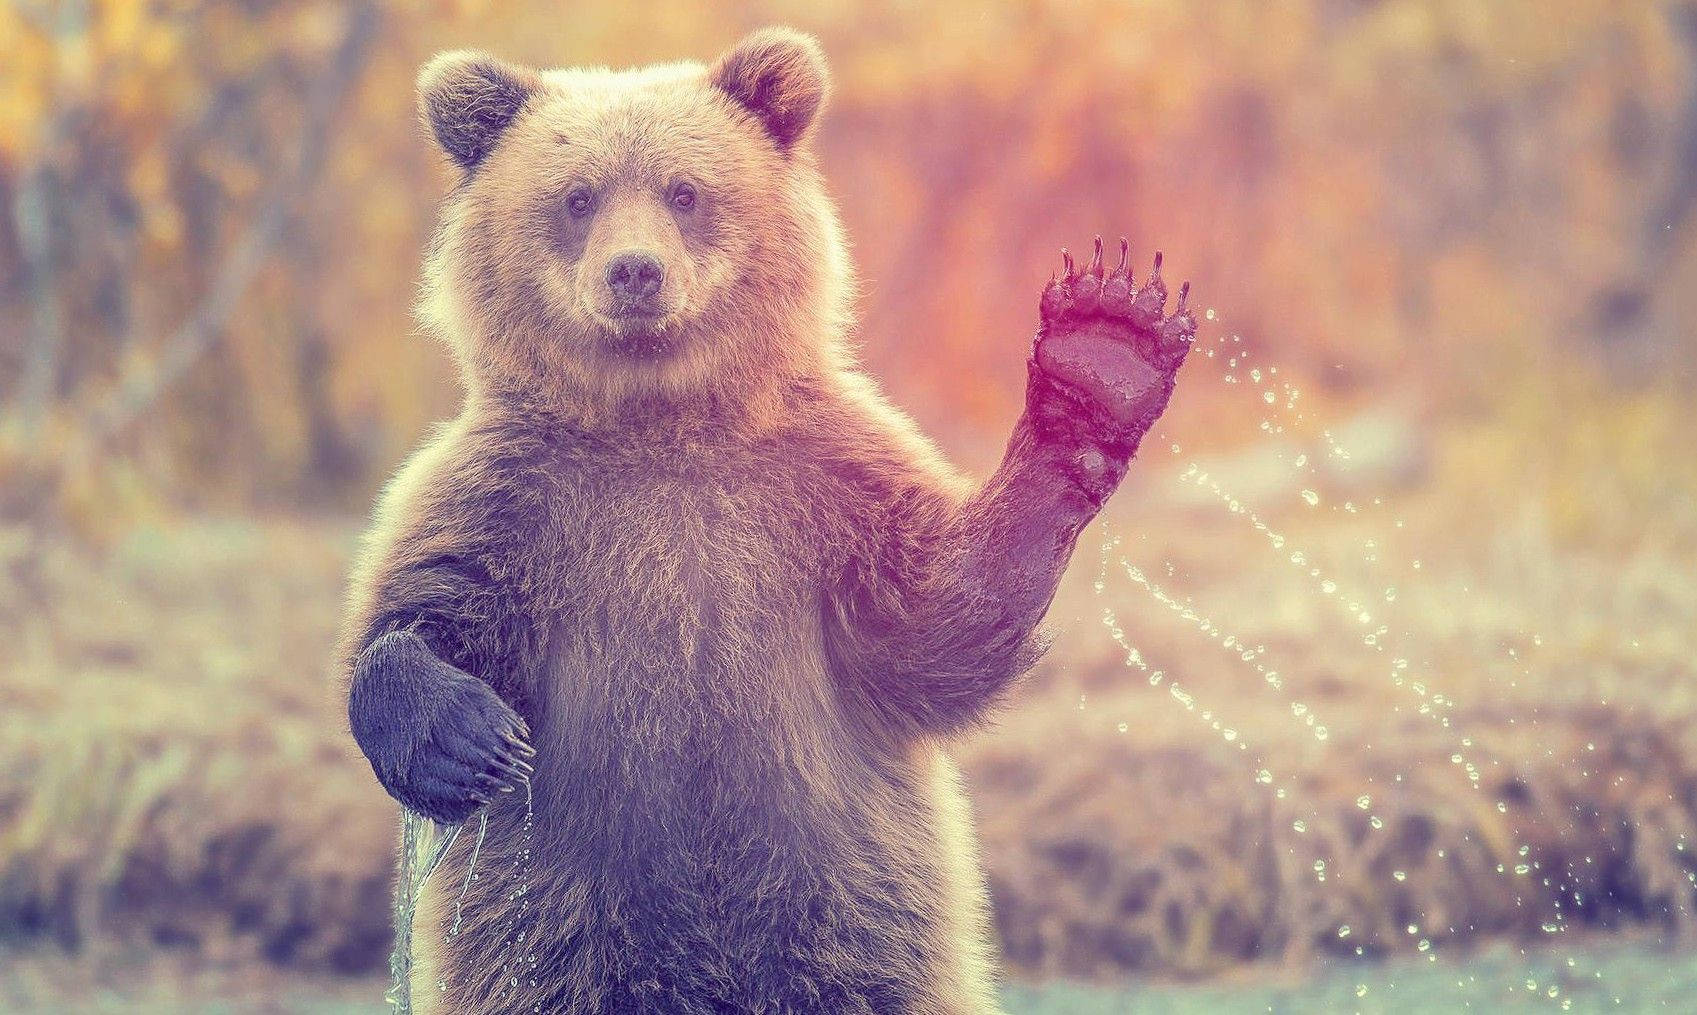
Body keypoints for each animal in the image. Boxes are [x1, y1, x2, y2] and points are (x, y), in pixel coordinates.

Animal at [340, 27, 1194, 1015]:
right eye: (577, 197)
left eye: (684, 190)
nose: (635, 272)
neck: (660, 422)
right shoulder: (515, 499)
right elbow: (419, 610)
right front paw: (467, 740)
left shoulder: (816, 489)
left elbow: (934, 625)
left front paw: (1101, 356)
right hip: (555, 928)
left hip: (851, 918)